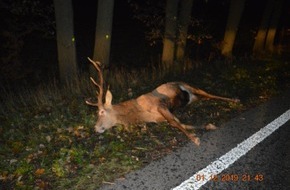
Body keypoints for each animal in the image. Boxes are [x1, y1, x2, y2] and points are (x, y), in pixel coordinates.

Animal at [85, 58, 239, 145]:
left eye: (101, 112)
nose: (95, 128)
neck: (140, 112)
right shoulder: (161, 117)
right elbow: (180, 123)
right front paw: (209, 126)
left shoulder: (160, 105)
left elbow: (174, 123)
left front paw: (194, 139)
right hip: (193, 97)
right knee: (205, 96)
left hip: (189, 86)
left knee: (208, 93)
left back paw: (235, 99)